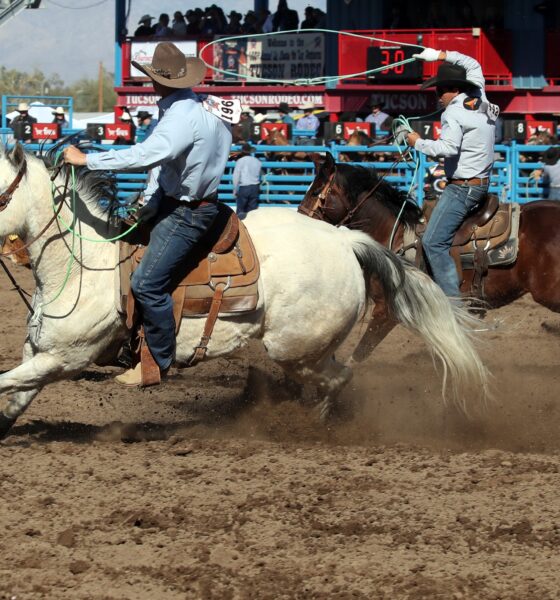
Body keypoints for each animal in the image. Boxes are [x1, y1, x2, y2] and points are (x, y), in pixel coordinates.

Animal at [0, 144, 488, 438]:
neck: (87, 267)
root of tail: (344, 240)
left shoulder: (63, 360)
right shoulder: (37, 354)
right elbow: (12, 399)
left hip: (294, 348)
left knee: (338, 376)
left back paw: (311, 425)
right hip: (308, 349)